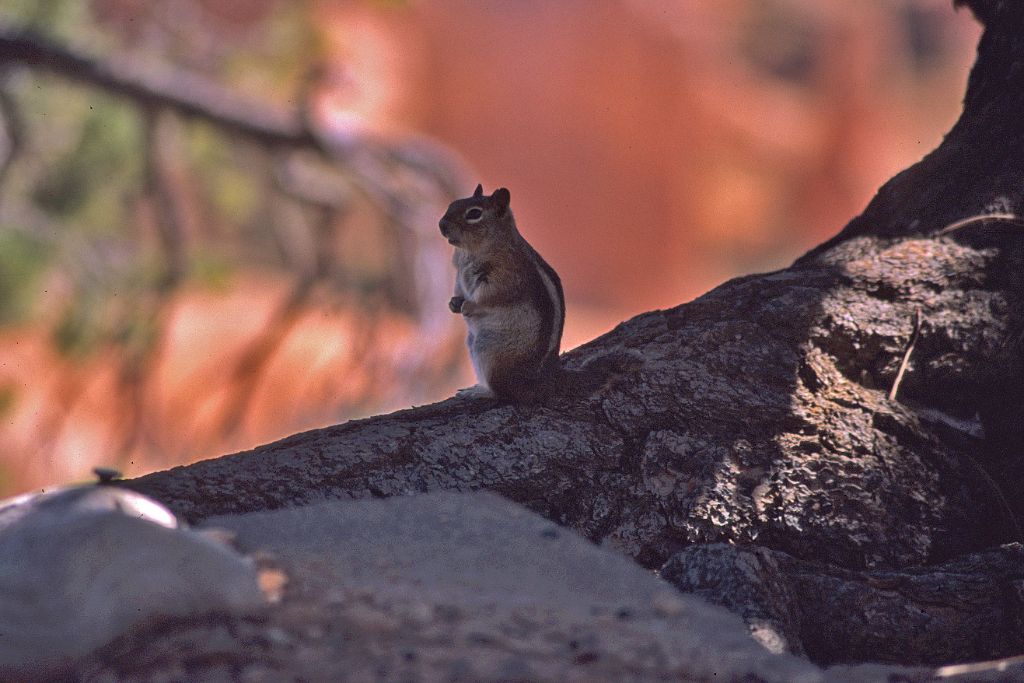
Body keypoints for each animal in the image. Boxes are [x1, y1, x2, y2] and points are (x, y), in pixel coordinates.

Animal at [440, 184, 569, 403]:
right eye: (453, 203)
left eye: (474, 213)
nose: (441, 225)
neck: (468, 251)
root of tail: (533, 386)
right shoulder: (458, 272)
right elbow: (459, 288)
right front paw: (453, 303)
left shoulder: (505, 276)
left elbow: (490, 296)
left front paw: (468, 306)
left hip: (489, 353)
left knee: (501, 392)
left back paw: (480, 392)